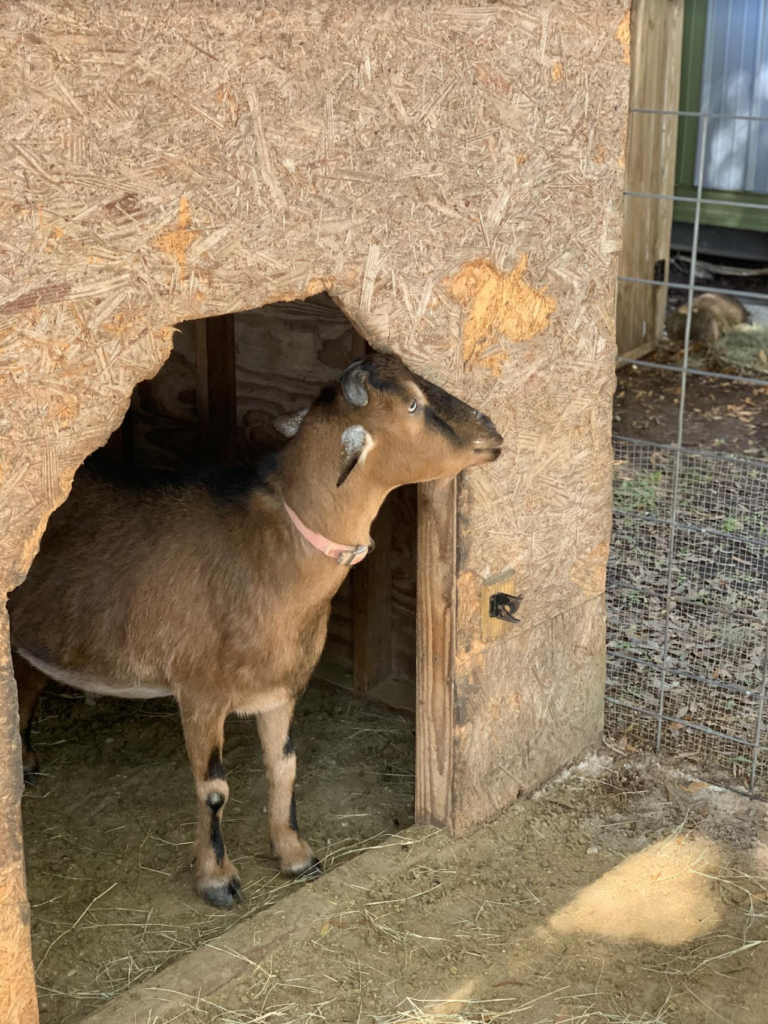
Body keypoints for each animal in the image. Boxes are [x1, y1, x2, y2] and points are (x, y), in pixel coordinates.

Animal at [9, 352, 503, 907]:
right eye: (414, 405)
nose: (491, 431)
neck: (266, 553)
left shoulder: (281, 686)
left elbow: (285, 765)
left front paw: (295, 855)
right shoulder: (199, 694)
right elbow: (214, 789)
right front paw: (217, 879)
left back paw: (26, 761)